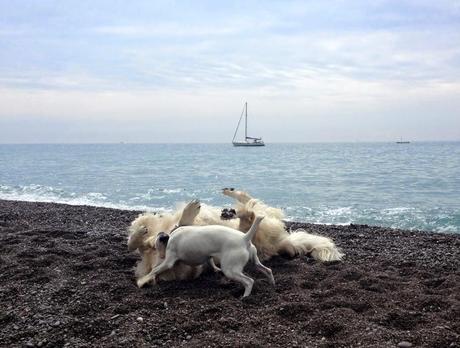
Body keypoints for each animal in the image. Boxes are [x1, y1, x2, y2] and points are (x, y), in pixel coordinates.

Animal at [137, 215, 274, 296]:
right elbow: (211, 262)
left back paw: (245, 296)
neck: (170, 237)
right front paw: (216, 270)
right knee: (267, 270)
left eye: (156, 245)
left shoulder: (169, 261)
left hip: (231, 270)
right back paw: (272, 284)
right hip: (255, 262)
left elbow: (155, 270)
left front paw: (143, 280)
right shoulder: (207, 257)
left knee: (249, 281)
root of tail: (244, 238)